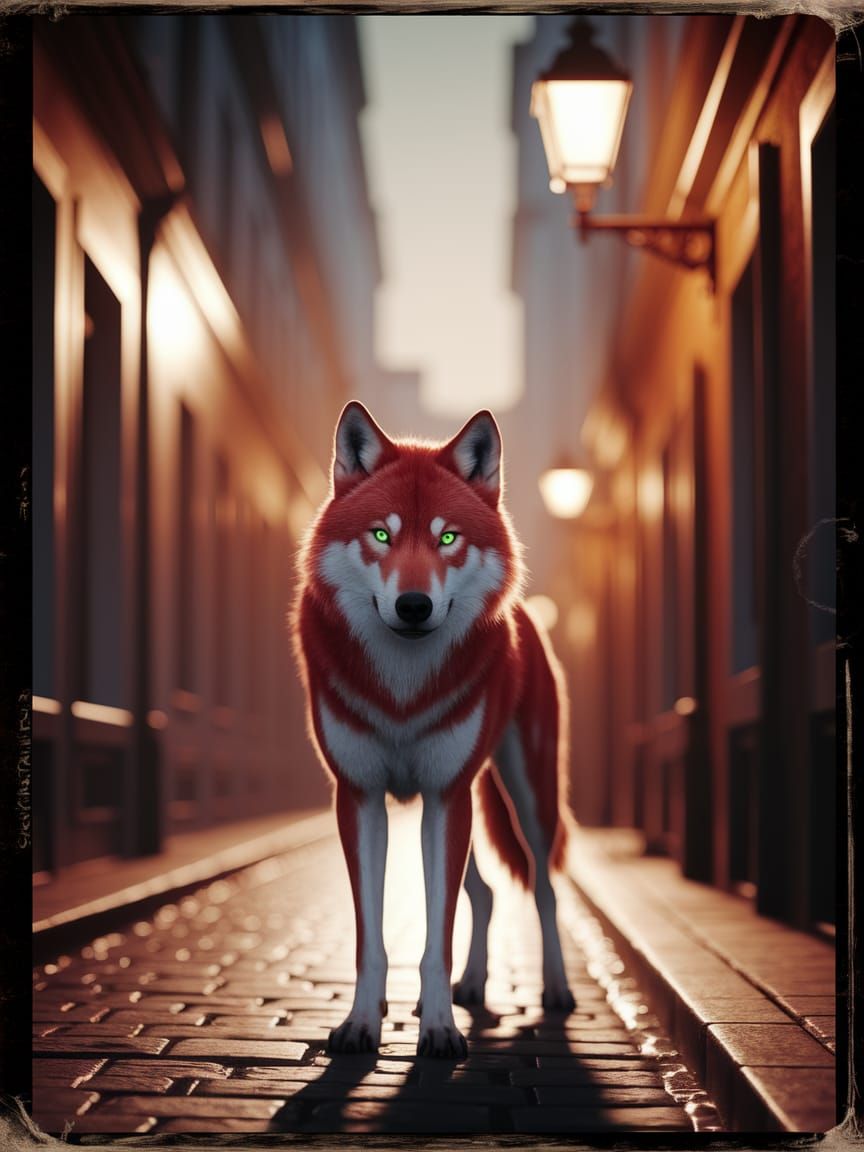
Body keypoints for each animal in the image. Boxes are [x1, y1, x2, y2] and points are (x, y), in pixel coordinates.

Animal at [293, 401, 575, 1059]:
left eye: (448, 537)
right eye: (382, 535)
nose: (415, 606)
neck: (403, 685)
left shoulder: (446, 797)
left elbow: (435, 937)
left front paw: (441, 1030)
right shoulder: (363, 799)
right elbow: (372, 940)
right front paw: (362, 1024)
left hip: (525, 799)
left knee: (544, 888)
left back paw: (554, 990)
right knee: (488, 893)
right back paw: (469, 986)